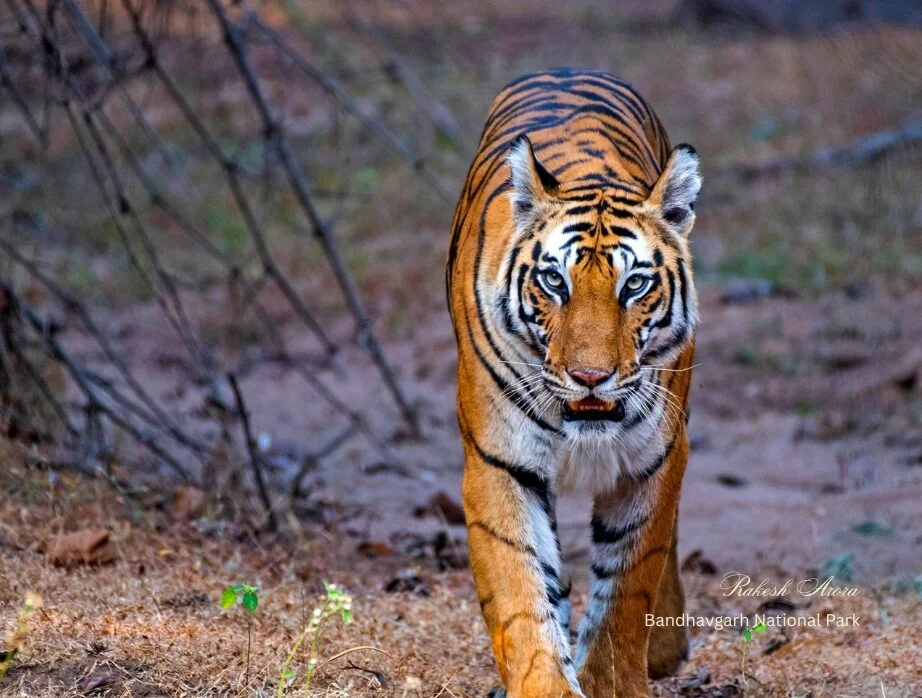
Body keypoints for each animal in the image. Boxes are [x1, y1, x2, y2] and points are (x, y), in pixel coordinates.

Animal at [445, 69, 701, 698]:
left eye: (634, 285)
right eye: (554, 281)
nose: (590, 377)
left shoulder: (652, 462)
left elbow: (625, 590)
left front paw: (612, 683)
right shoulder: (499, 461)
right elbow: (521, 591)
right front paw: (546, 682)